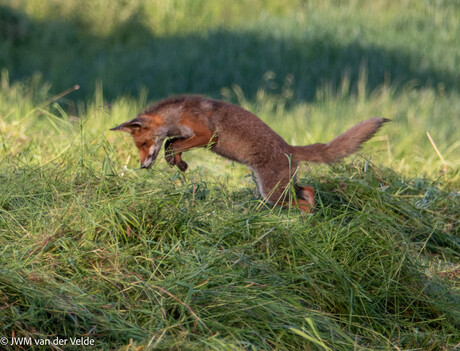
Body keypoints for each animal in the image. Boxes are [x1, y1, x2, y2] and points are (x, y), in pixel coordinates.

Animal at [111, 95, 388, 213]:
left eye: (143, 143)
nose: (142, 166)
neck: (179, 114)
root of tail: (290, 148)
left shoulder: (208, 136)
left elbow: (172, 143)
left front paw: (175, 160)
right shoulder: (190, 136)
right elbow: (171, 142)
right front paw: (178, 163)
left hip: (272, 192)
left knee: (303, 202)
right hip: (278, 186)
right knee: (309, 191)